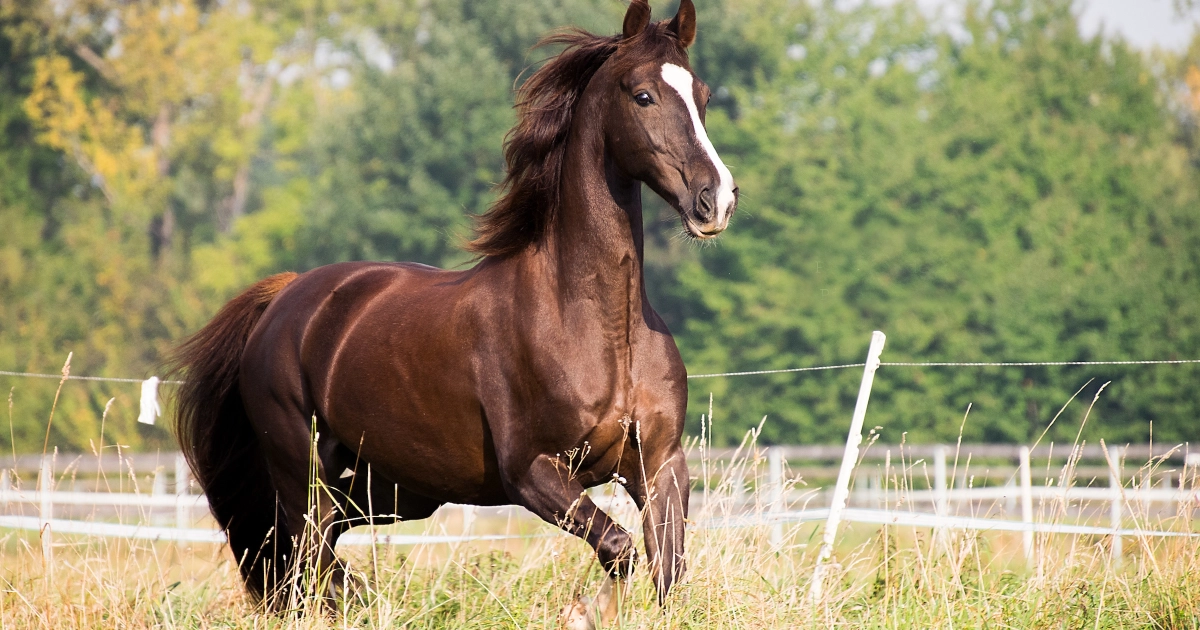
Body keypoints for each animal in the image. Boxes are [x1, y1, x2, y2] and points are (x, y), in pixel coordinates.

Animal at [170, 0, 737, 618]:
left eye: (703, 95)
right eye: (642, 95)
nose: (716, 199)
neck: (599, 327)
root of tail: (286, 298)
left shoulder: (661, 466)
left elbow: (666, 572)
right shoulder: (531, 472)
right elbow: (620, 548)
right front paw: (584, 613)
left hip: (386, 487)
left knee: (315, 554)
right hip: (303, 472)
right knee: (308, 558)